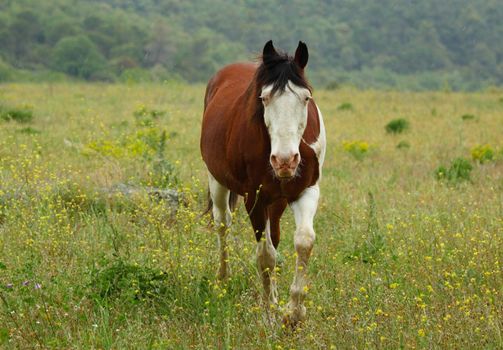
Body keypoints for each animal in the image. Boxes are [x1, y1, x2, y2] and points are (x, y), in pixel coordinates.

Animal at [201, 39, 326, 324]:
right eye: (265, 98)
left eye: (305, 98)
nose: (285, 161)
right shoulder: (254, 199)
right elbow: (266, 256)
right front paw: (269, 312)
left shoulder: (306, 191)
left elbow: (303, 241)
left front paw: (294, 312)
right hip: (218, 182)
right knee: (223, 224)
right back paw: (223, 280)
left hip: (277, 202)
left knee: (275, 237)